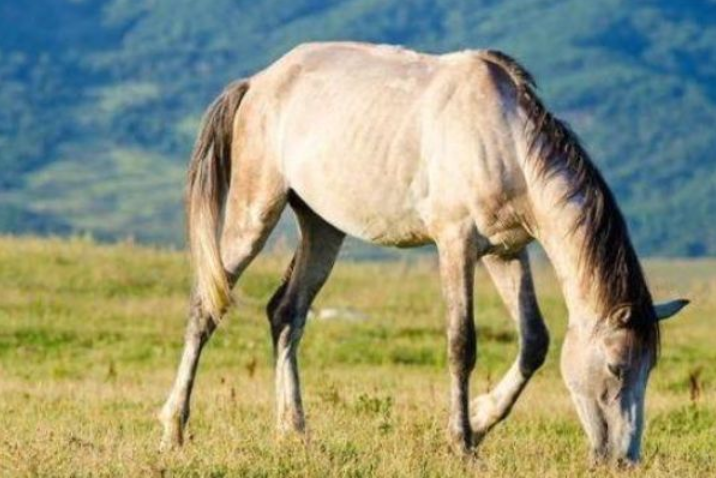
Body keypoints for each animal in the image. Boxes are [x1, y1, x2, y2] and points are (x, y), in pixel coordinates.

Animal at [158, 42, 688, 464]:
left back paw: (295, 431)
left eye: (650, 368)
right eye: (617, 367)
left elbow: (534, 341)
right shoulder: (456, 245)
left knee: (286, 314)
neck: (506, 141)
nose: (625, 459)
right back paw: (174, 430)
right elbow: (461, 344)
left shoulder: (506, 252)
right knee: (206, 306)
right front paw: (462, 441)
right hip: (255, 211)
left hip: (323, 227)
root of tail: (258, 83)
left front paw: (482, 417)